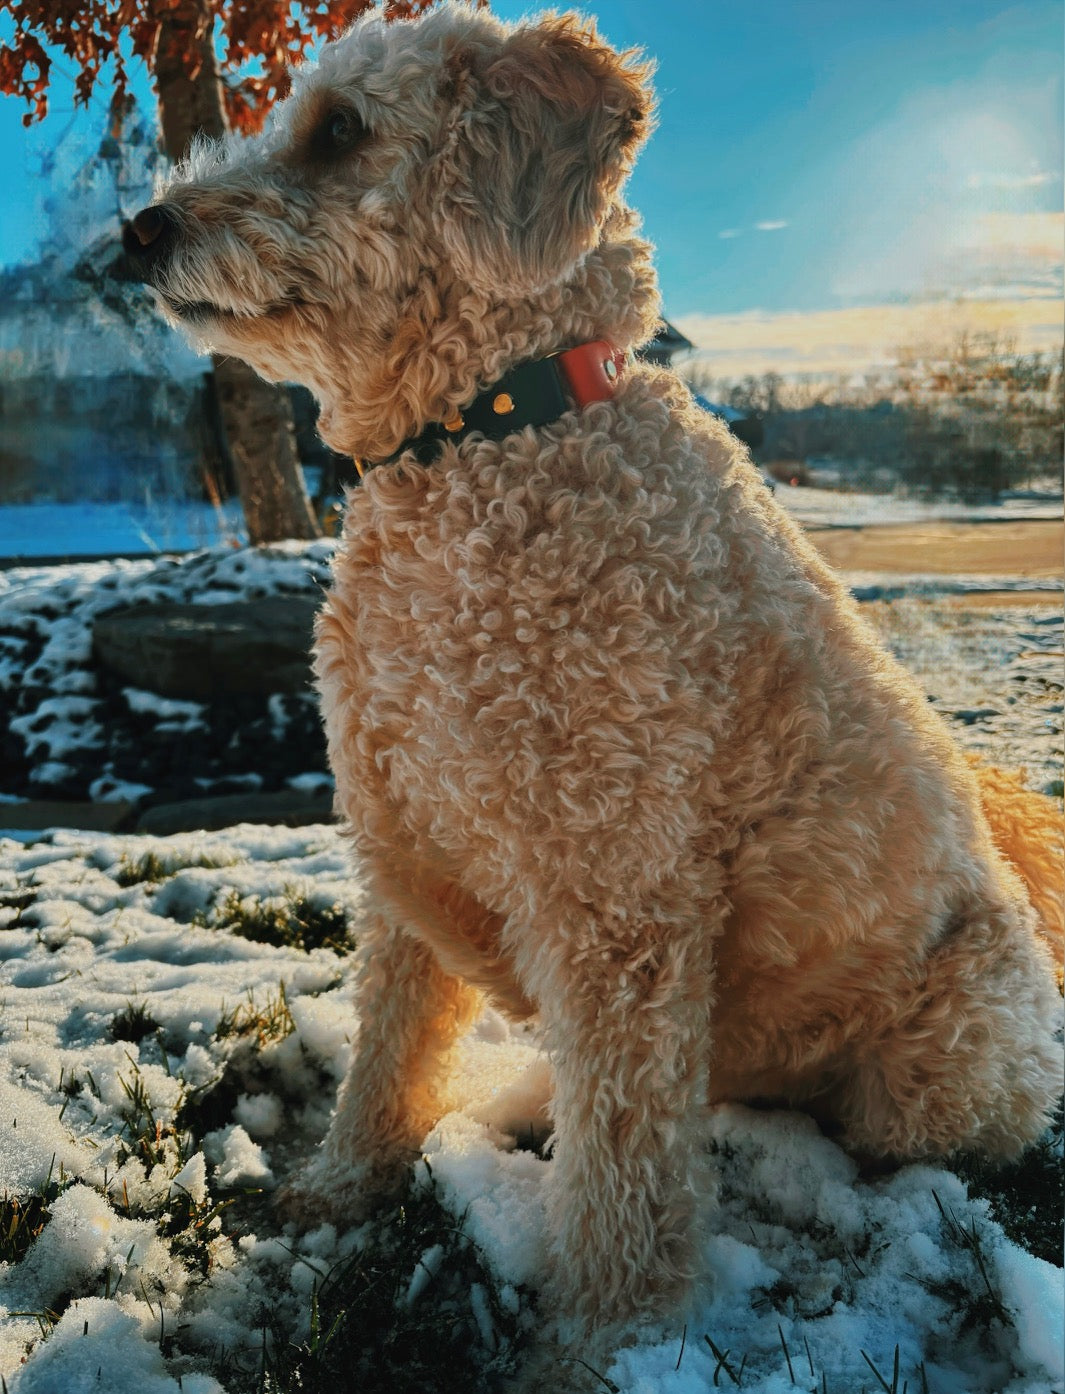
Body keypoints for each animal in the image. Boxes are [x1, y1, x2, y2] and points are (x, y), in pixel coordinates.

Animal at [118, 2, 1065, 1327]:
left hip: (945, 1055)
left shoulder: (618, 894)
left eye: (341, 131)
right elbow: (391, 1043)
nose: (140, 227)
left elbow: (620, 1173)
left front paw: (597, 1337)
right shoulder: (402, 837)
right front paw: (340, 1184)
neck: (487, 433)